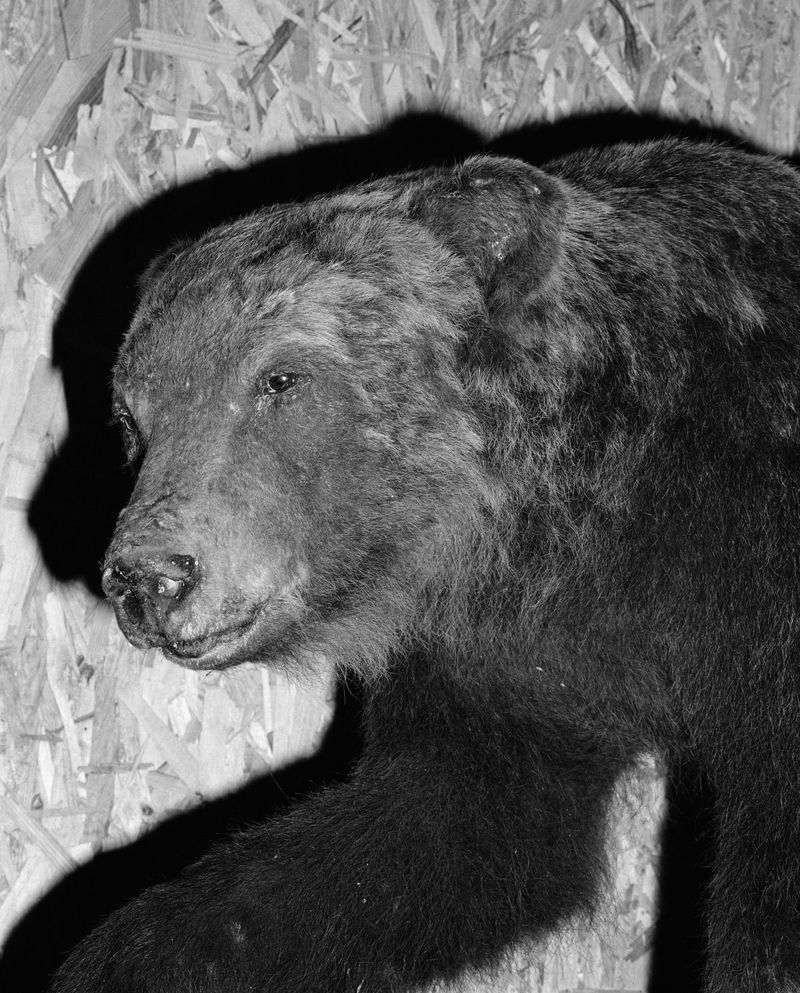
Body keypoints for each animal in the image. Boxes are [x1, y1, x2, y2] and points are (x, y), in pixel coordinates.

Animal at [49, 138, 800, 993]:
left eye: (279, 378)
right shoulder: (498, 652)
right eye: (131, 417)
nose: (150, 575)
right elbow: (451, 833)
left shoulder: (747, 557)